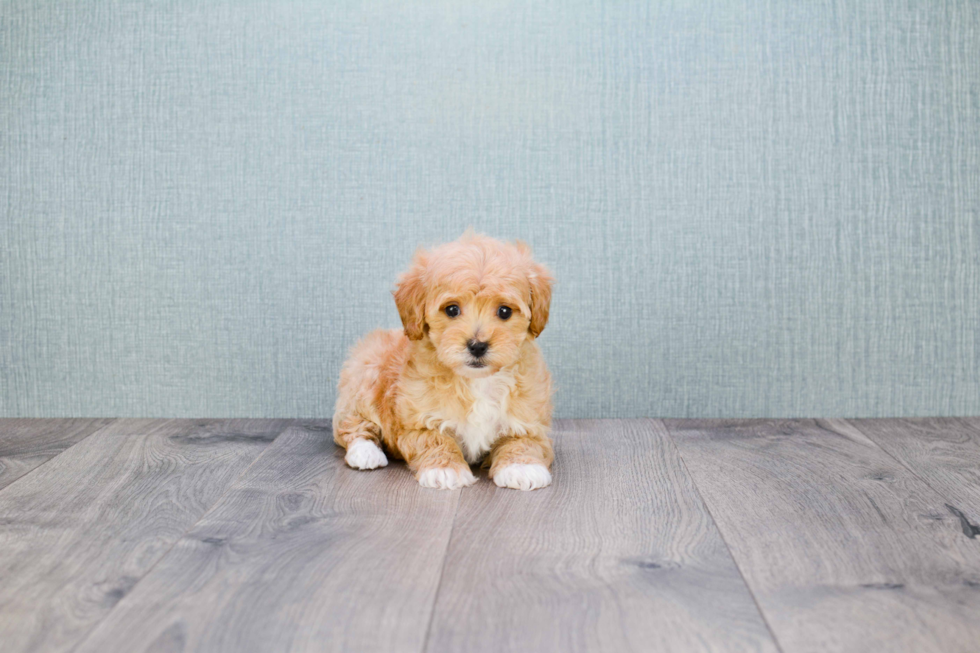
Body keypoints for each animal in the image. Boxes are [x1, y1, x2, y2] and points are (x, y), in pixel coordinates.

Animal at [334, 230, 556, 488]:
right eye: (452, 310)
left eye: (504, 311)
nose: (477, 345)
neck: (477, 381)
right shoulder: (418, 420)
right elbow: (434, 439)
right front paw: (445, 469)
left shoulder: (530, 418)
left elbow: (524, 439)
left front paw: (522, 467)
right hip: (365, 375)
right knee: (352, 424)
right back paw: (366, 452)